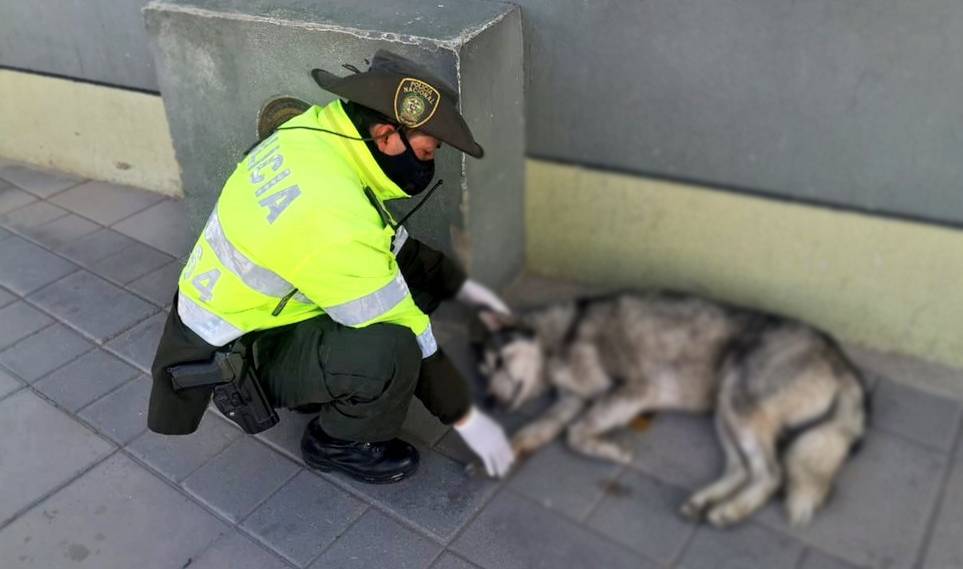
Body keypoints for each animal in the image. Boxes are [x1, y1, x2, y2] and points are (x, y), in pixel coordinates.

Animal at [478, 290, 868, 524]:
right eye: (484, 371)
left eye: (498, 361)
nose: (489, 402)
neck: (560, 339)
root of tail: (840, 358)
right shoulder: (568, 403)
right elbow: (531, 432)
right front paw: (496, 451)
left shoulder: (635, 389)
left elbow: (576, 433)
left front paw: (614, 450)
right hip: (725, 412)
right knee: (743, 468)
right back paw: (705, 501)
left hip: (738, 401)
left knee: (771, 474)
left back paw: (730, 510)